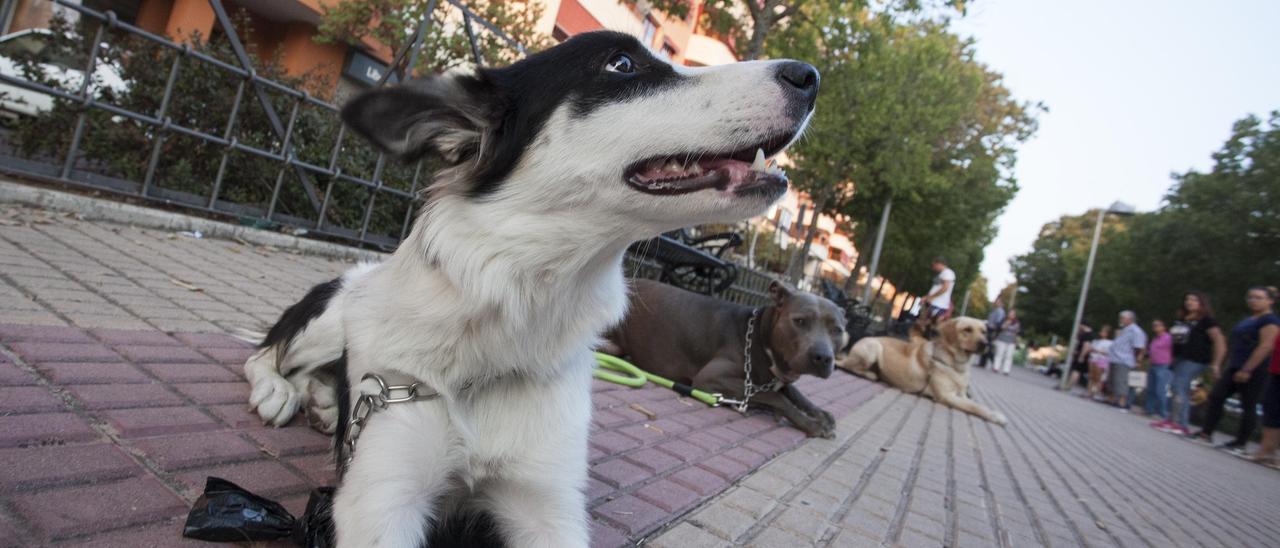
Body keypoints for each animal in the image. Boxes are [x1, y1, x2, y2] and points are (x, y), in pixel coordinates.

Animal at [601, 277, 844, 437]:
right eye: (800, 321)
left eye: (838, 330)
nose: (823, 357)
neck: (759, 337)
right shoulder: (710, 379)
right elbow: (777, 397)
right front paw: (812, 424)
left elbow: (794, 393)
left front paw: (820, 414)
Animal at [839, 316, 1008, 427]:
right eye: (967, 330)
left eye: (984, 331)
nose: (985, 344)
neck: (957, 366)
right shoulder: (947, 396)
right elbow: (976, 407)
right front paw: (996, 416)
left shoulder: (961, 394)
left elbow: (974, 402)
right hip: (873, 348)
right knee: (845, 365)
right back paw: (870, 374)